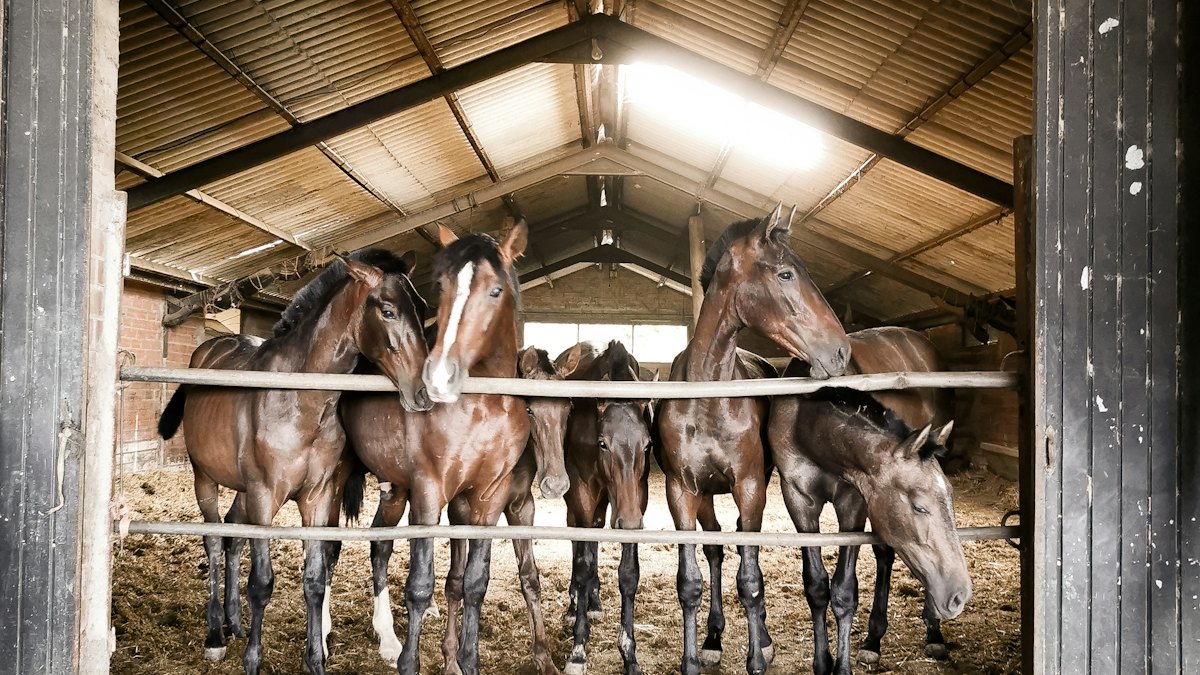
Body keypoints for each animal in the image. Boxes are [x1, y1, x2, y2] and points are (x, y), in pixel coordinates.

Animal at [156, 249, 432, 675]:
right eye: (387, 310)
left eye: (422, 308)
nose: (423, 391)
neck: (301, 399)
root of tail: (207, 349)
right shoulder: (265, 496)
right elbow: (262, 582)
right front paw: (253, 660)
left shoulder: (317, 496)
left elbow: (315, 578)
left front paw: (316, 659)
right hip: (206, 478)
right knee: (215, 540)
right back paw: (216, 635)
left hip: (243, 491)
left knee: (233, 534)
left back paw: (234, 622)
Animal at [339, 222, 533, 675]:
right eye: (442, 286)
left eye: (495, 290)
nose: (439, 378)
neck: (484, 407)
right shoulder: (430, 492)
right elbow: (421, 584)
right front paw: (411, 662)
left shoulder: (488, 498)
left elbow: (473, 583)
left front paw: (467, 660)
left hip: (395, 489)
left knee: (379, 545)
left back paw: (386, 638)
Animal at [558, 340, 654, 675]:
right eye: (603, 443)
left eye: (647, 444)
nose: (630, 522)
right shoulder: (582, 491)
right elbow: (583, 566)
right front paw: (578, 650)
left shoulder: (636, 497)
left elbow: (628, 574)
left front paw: (629, 655)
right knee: (578, 543)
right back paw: (576, 604)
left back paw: (594, 602)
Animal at [655, 205, 851, 675]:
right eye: (785, 273)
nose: (841, 352)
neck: (707, 399)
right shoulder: (681, 491)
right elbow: (689, 581)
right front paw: (693, 660)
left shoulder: (750, 486)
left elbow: (751, 581)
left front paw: (756, 657)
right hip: (707, 495)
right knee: (716, 551)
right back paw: (713, 638)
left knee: (747, 554)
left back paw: (761, 640)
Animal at [767, 381, 971, 675]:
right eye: (919, 507)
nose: (960, 595)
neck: (806, 425)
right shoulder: (798, 502)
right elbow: (816, 587)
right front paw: (822, 662)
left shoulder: (853, 502)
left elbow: (844, 591)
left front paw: (842, 667)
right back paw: (874, 641)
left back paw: (931, 633)